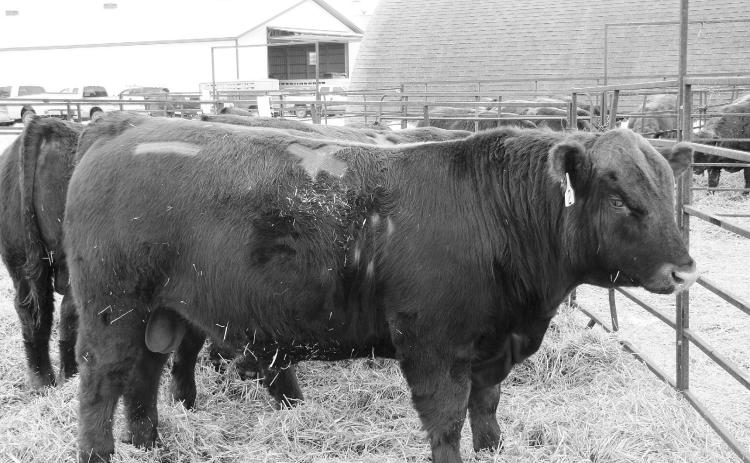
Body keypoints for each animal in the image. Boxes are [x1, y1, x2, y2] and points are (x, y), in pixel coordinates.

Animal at [0, 117, 82, 388]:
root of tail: (43, 125)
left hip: (19, 255)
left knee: (33, 309)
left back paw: (42, 381)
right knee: (69, 312)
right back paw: (70, 374)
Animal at [65, 113, 697, 463]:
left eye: (667, 188)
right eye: (619, 197)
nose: (685, 272)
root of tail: (123, 127)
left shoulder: (492, 348)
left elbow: (487, 411)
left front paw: (495, 448)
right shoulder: (433, 346)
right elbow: (446, 421)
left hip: (160, 313)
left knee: (143, 377)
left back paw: (151, 444)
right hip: (111, 308)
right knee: (101, 382)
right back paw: (99, 453)